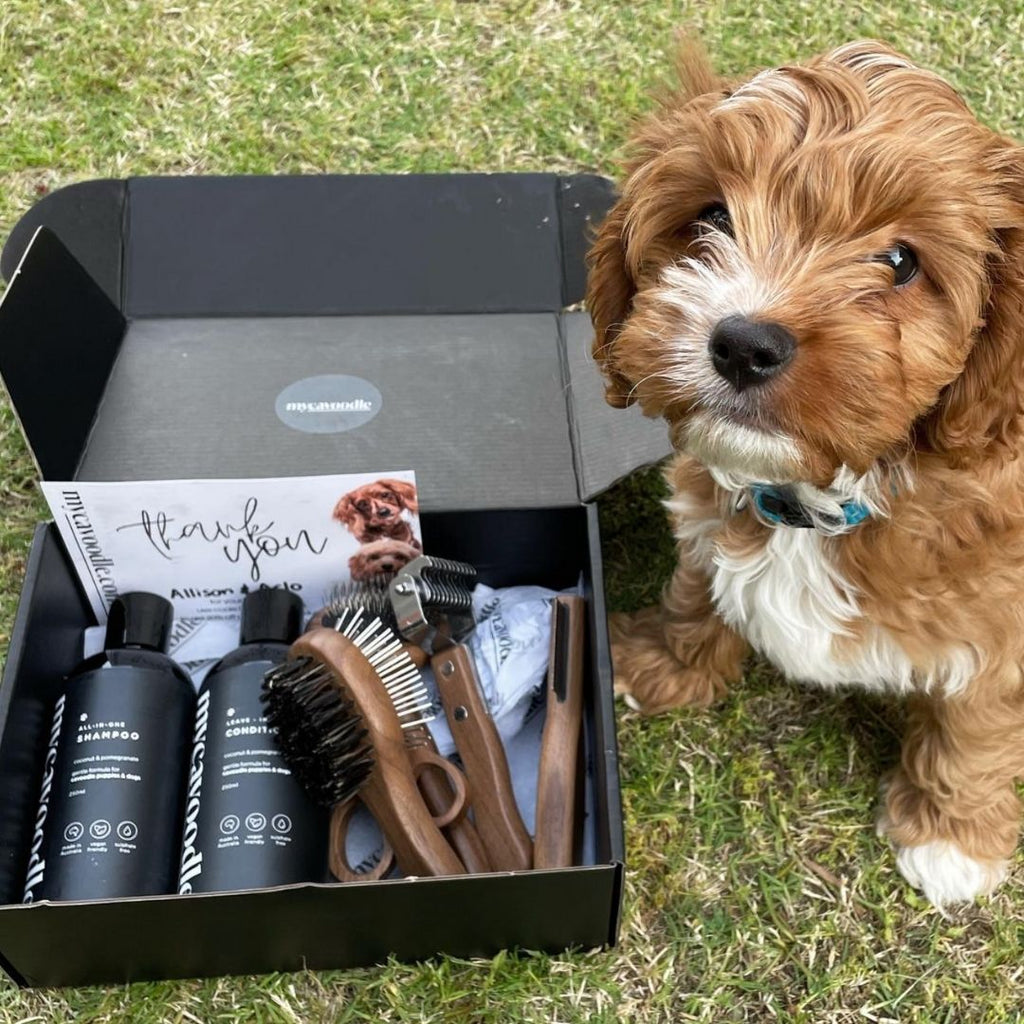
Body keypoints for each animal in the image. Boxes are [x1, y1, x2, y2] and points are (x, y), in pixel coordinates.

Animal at [588, 39, 1024, 909]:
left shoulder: (1002, 613)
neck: (822, 501)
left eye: (901, 261)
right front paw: (664, 663)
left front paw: (951, 835)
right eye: (713, 218)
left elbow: (978, 718)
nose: (744, 343)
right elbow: (697, 582)